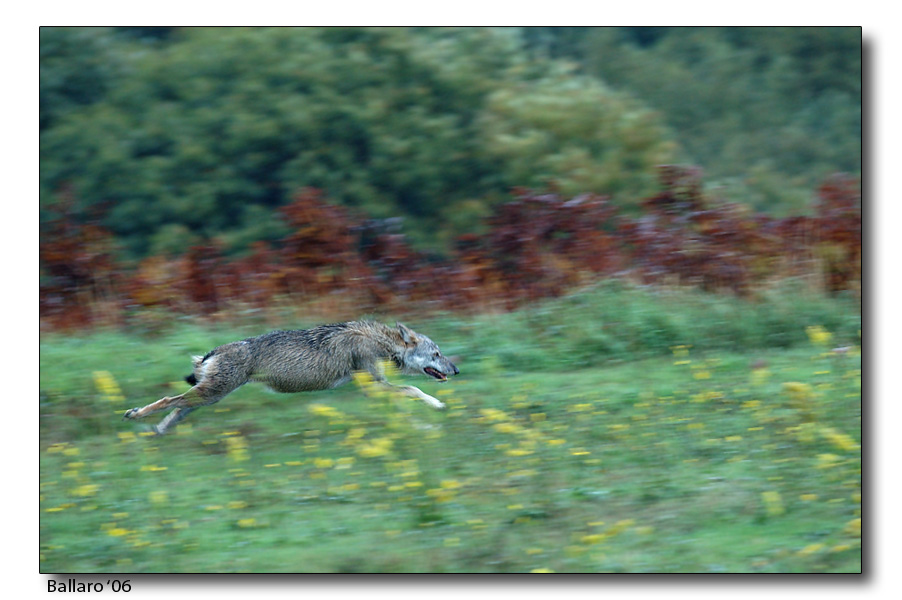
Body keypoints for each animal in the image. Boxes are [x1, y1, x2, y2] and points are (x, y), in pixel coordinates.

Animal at [122, 321, 458, 435]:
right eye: (437, 353)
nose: (457, 370)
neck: (380, 341)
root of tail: (214, 350)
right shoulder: (377, 387)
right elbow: (414, 389)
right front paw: (436, 409)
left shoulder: (376, 389)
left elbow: (405, 402)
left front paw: (422, 424)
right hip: (211, 394)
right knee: (169, 400)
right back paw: (136, 415)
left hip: (208, 397)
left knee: (176, 410)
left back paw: (156, 432)